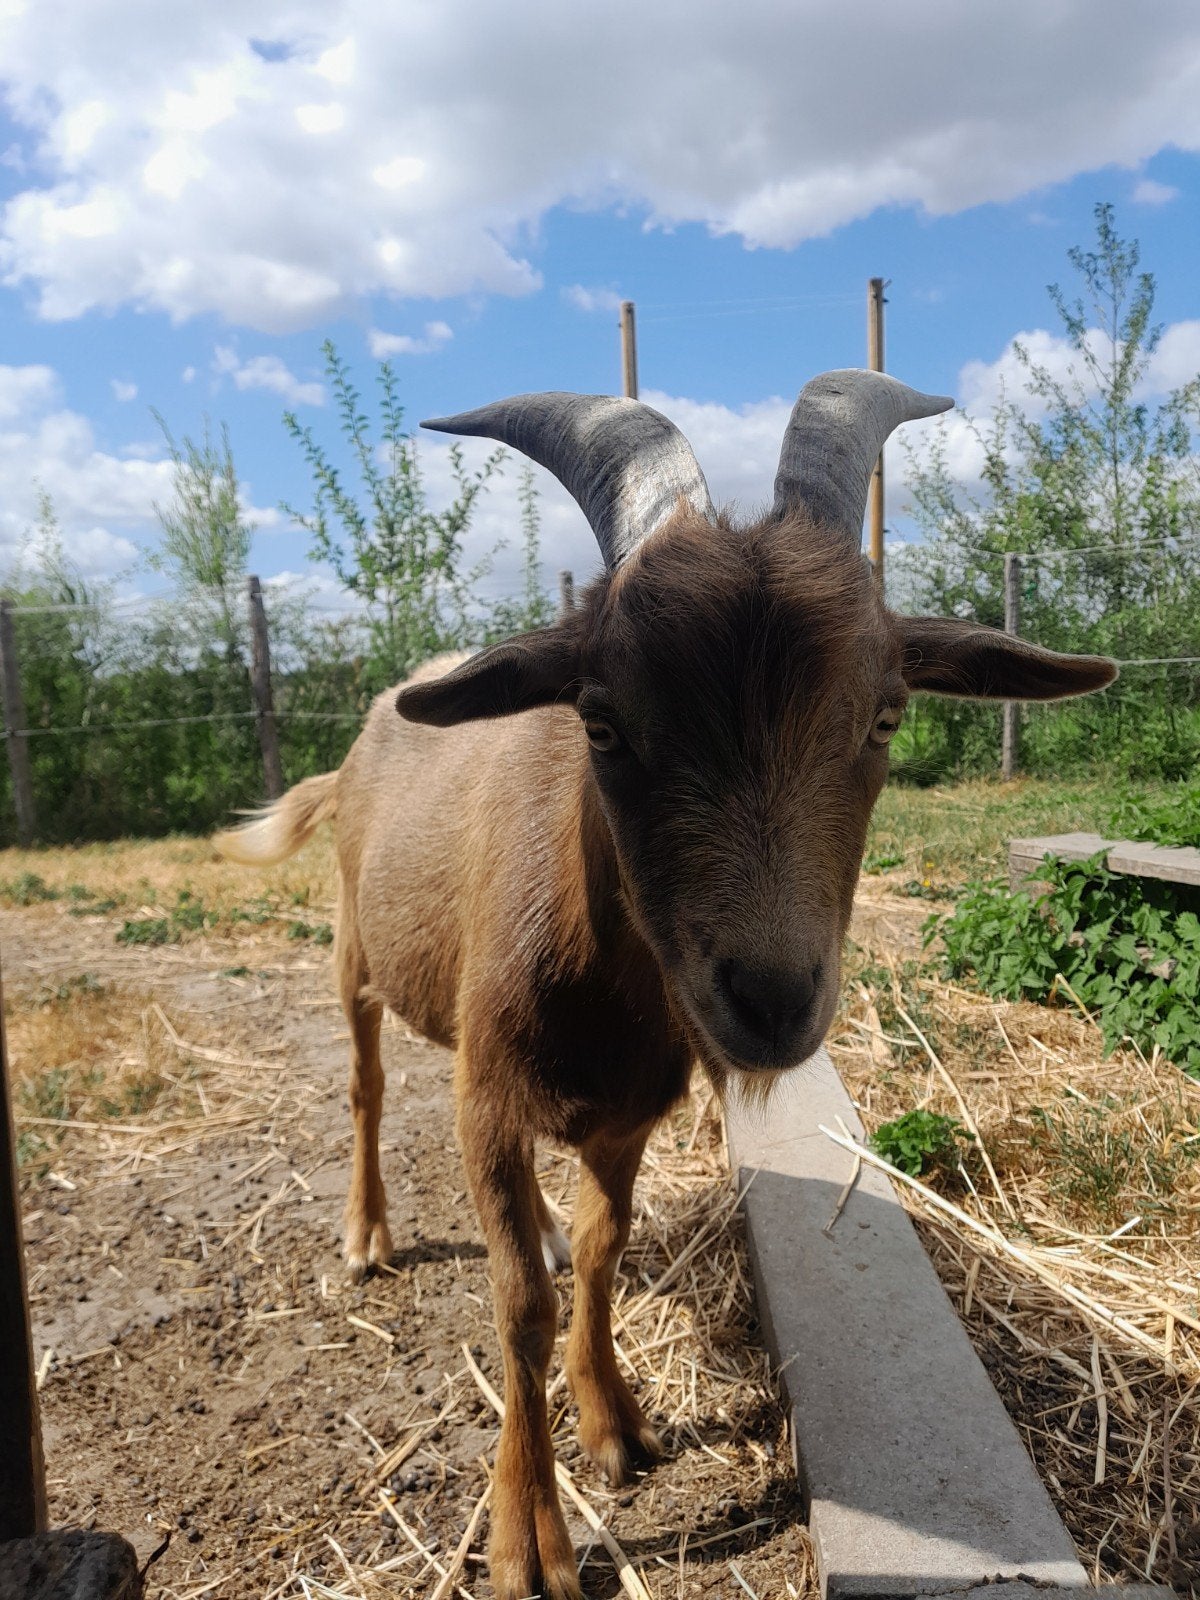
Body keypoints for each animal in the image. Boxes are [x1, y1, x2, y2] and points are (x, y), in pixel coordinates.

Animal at [216, 371, 1115, 1600]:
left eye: (886, 713)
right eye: (601, 719)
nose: (773, 996)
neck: (600, 992)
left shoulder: (629, 1111)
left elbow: (601, 1253)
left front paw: (616, 1424)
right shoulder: (488, 1104)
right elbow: (517, 1304)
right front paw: (529, 1540)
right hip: (356, 949)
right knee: (365, 1086)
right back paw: (366, 1235)